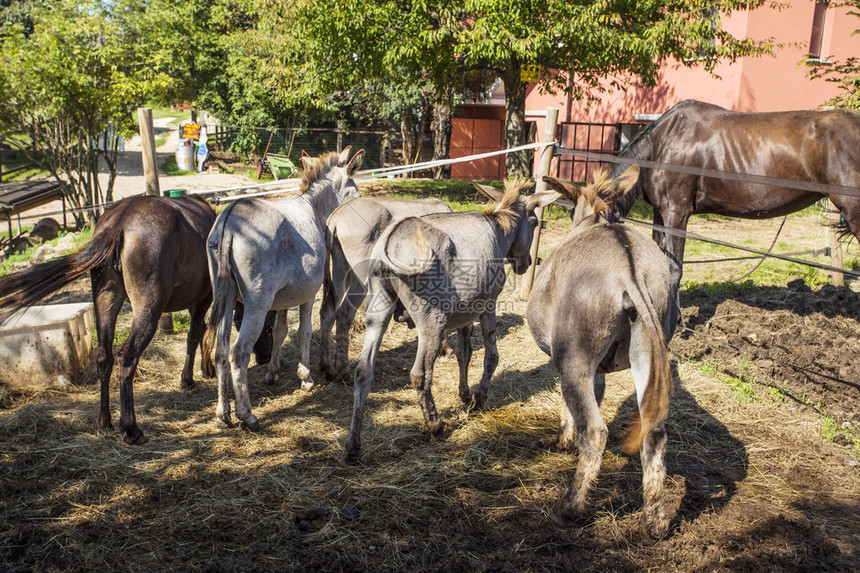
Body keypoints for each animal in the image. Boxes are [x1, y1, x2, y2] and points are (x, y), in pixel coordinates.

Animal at [0, 194, 215, 444]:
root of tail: (118, 223)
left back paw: (104, 423)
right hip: (148, 306)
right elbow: (197, 334)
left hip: (105, 300)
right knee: (127, 356)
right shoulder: (204, 298)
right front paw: (190, 378)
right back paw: (130, 429)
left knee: (105, 357)